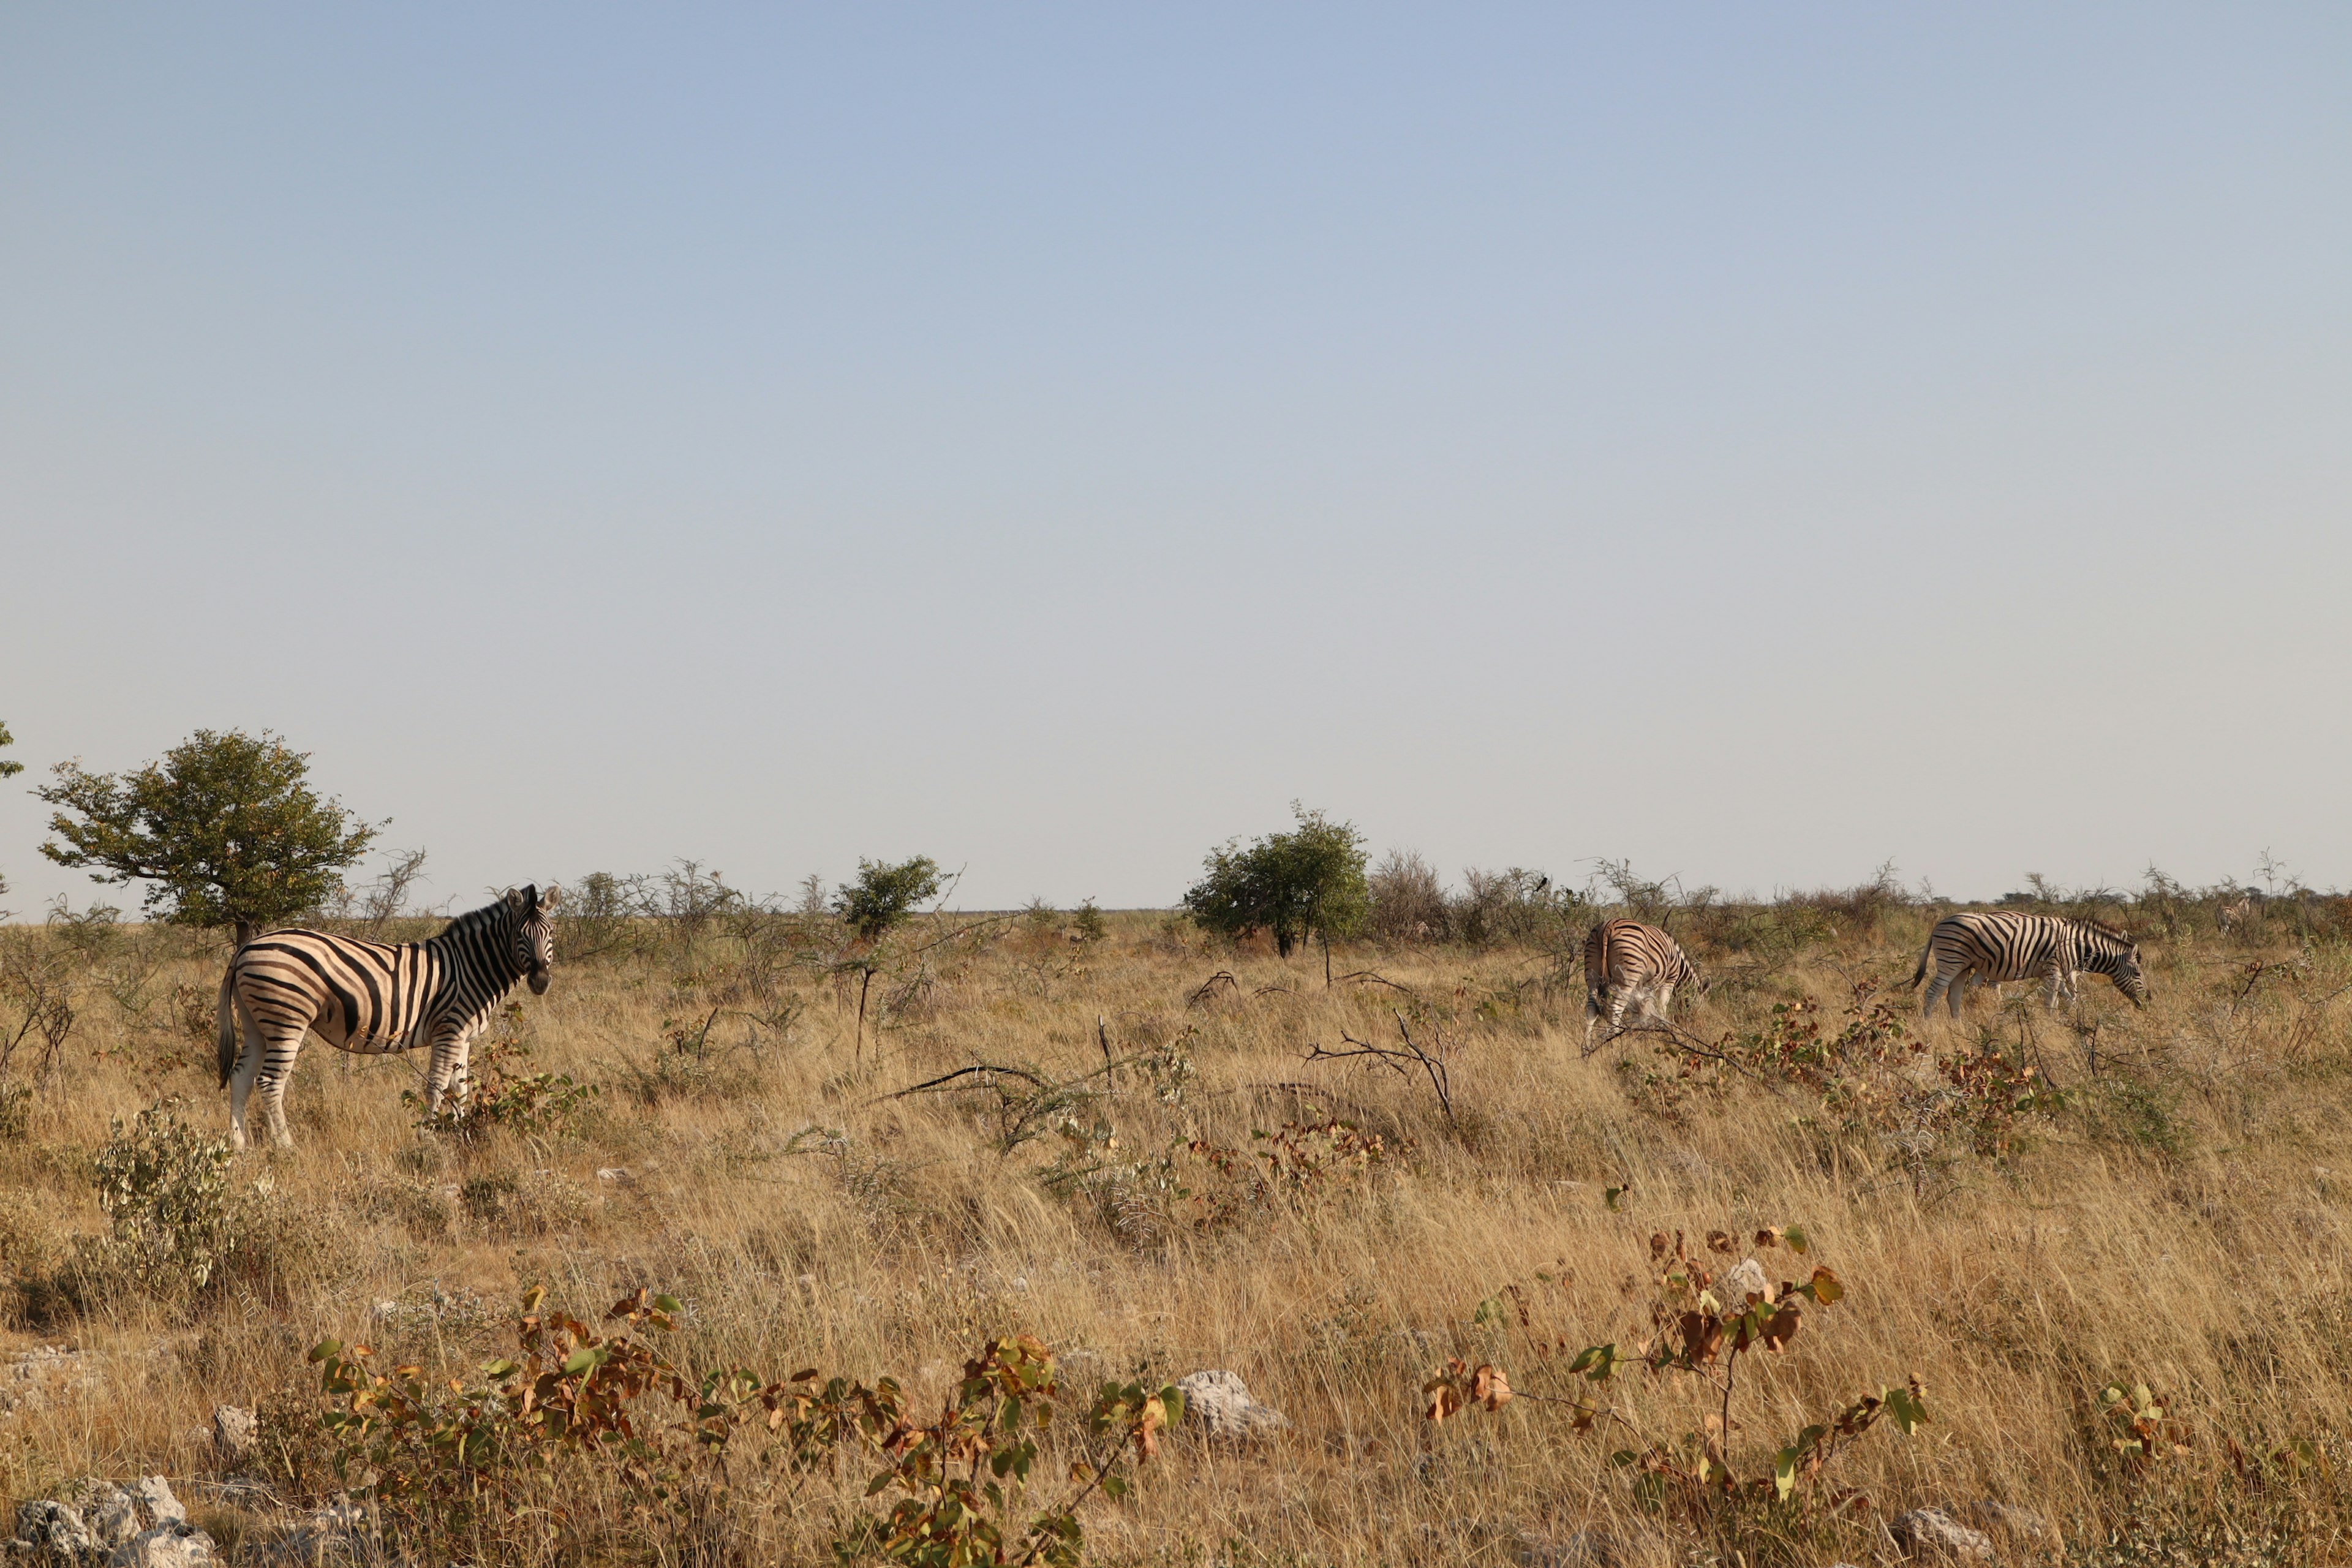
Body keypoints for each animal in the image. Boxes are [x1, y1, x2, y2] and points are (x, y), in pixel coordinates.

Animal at [213, 884, 559, 1152]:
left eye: (551, 933)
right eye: (519, 935)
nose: (541, 982)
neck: (470, 966)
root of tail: (246, 948)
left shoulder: (464, 1037)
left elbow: (460, 1089)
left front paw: (463, 1134)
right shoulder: (449, 1029)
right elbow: (436, 1086)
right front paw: (427, 1137)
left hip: (256, 1023)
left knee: (241, 1076)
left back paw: (238, 1145)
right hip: (286, 1018)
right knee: (270, 1082)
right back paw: (286, 1146)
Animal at [1589, 912, 1703, 1048]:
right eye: (1699, 1004)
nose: (1692, 1024)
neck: (1679, 965)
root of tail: (1608, 927)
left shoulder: (1646, 986)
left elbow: (1646, 1006)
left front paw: (1646, 1029)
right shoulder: (1669, 981)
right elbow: (1661, 1006)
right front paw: (1663, 1030)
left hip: (1592, 973)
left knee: (1591, 1008)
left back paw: (1586, 1046)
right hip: (1628, 977)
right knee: (1616, 1007)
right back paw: (1614, 1039)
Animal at [1910, 907, 2154, 1020]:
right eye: (2138, 974)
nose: (2149, 1001)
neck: (2076, 946)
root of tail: (1939, 924)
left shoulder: (2057, 972)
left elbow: (2070, 997)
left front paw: (2068, 1020)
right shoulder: (2054, 969)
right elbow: (2052, 1001)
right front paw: (2051, 1024)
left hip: (1963, 966)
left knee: (1955, 996)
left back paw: (1959, 1025)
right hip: (1951, 961)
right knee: (1933, 993)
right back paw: (1928, 1023)